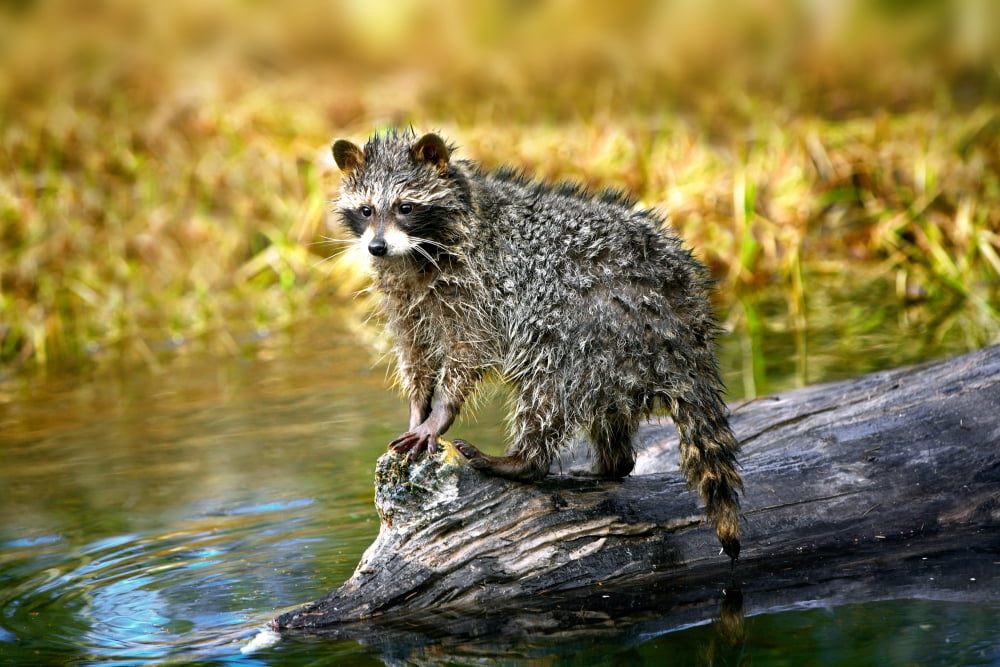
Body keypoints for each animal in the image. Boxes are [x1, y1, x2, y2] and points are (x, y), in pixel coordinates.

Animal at [331, 129, 743, 559]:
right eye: (366, 210)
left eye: (406, 206)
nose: (377, 247)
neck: (419, 250)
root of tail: (686, 321)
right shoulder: (404, 295)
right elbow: (415, 354)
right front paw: (418, 407)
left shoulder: (479, 287)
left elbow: (470, 351)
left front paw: (439, 413)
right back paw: (611, 462)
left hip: (596, 321)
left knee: (548, 385)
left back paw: (525, 460)